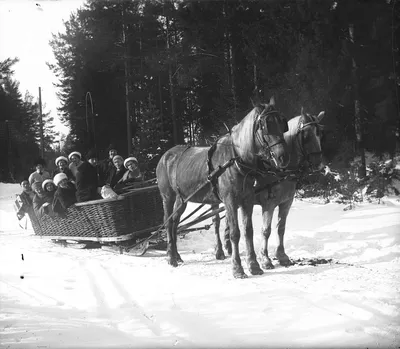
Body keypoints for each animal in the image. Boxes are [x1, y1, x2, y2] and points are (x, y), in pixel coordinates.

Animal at [156, 97, 290, 278]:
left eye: (282, 124)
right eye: (265, 125)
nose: (283, 157)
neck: (237, 159)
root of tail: (165, 155)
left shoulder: (247, 200)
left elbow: (248, 231)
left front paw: (254, 265)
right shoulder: (230, 201)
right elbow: (235, 233)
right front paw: (237, 268)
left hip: (182, 199)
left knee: (175, 223)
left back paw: (176, 255)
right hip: (167, 197)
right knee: (168, 222)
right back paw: (171, 257)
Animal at [220, 107, 326, 268]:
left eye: (319, 133)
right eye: (306, 136)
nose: (318, 163)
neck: (280, 171)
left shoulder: (286, 203)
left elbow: (281, 228)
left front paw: (282, 255)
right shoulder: (268, 204)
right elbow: (266, 230)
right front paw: (265, 258)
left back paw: (228, 246)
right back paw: (220, 249)